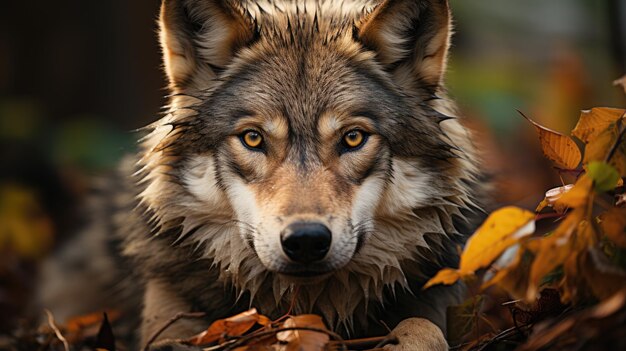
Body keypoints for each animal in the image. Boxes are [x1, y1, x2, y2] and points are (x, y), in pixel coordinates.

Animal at [41, 0, 480, 350]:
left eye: (353, 137)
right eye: (253, 138)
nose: (306, 240)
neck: (310, 306)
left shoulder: (433, 303)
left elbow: (423, 330)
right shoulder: (167, 316)